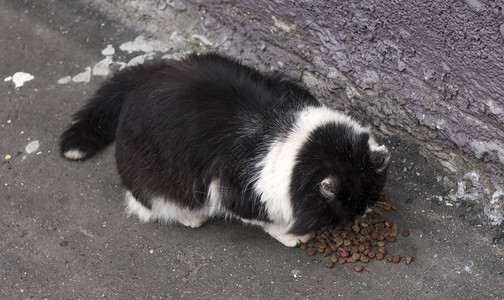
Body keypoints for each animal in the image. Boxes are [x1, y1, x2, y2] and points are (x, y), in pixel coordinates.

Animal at [60, 53, 390, 246]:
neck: (286, 132)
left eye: (371, 195)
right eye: (350, 204)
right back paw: (189, 216)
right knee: (145, 201)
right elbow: (266, 218)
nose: (364, 212)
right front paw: (289, 235)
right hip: (155, 174)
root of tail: (149, 77)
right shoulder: (231, 188)